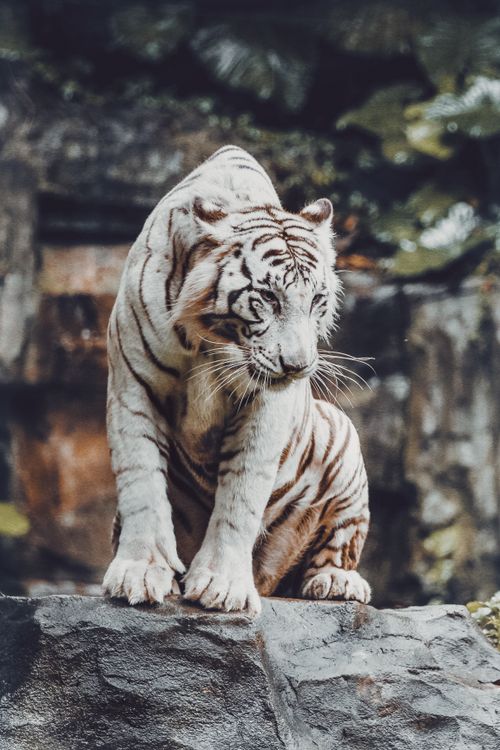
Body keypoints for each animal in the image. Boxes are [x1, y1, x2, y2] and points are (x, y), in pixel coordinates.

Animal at [102, 144, 371, 616]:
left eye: (317, 300)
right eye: (268, 298)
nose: (299, 366)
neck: (210, 341)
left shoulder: (267, 406)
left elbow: (241, 494)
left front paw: (222, 585)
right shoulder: (132, 386)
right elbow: (141, 483)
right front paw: (139, 571)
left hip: (343, 439)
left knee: (337, 546)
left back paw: (336, 582)